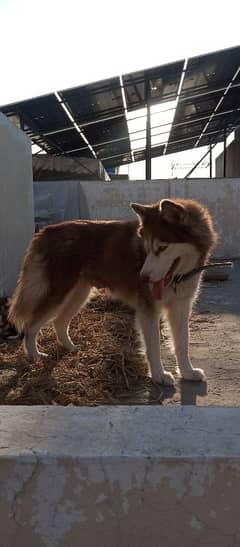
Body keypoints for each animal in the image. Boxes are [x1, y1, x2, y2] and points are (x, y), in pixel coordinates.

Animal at [8, 198, 217, 386]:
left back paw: (71, 348)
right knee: (30, 326)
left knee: (59, 322)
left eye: (162, 247)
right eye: (146, 248)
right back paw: (35, 356)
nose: (143, 278)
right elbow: (154, 347)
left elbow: (182, 344)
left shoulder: (181, 306)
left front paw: (187, 372)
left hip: (79, 294)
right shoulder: (148, 310)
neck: (179, 276)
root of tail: (46, 230)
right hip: (59, 296)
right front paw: (159, 375)